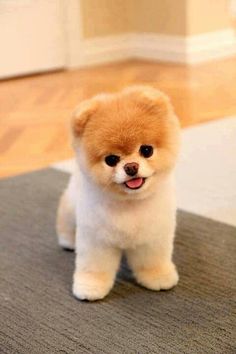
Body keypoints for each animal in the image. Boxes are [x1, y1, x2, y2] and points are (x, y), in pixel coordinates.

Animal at [56, 86, 180, 302]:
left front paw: (158, 276)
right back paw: (67, 241)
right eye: (111, 160)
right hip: (72, 206)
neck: (129, 203)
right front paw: (90, 286)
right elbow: (94, 267)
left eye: (146, 150)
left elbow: (153, 260)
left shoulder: (153, 236)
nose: (131, 167)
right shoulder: (96, 239)